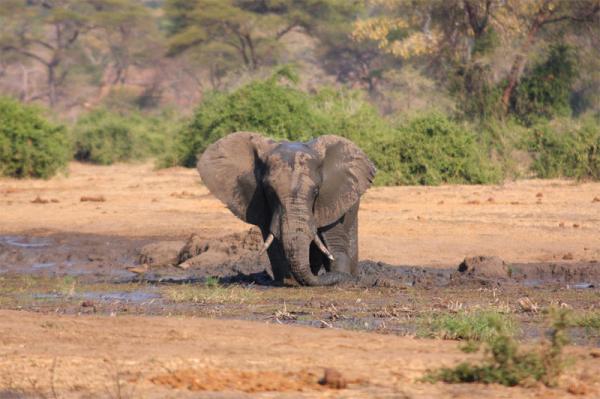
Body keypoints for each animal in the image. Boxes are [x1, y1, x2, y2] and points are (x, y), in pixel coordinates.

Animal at [197, 133, 376, 286]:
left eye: (316, 192)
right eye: (269, 191)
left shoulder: (333, 197)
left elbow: (334, 240)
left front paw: (343, 278)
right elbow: (275, 243)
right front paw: (288, 282)